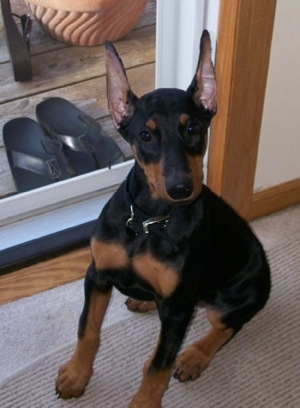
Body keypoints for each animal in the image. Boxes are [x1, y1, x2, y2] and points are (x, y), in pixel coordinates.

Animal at [55, 31, 270, 408]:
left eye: (194, 128)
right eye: (145, 135)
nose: (182, 188)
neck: (147, 221)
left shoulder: (179, 309)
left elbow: (159, 365)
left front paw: (144, 400)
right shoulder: (97, 274)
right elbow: (87, 329)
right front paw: (77, 374)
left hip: (233, 297)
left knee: (227, 326)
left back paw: (194, 356)